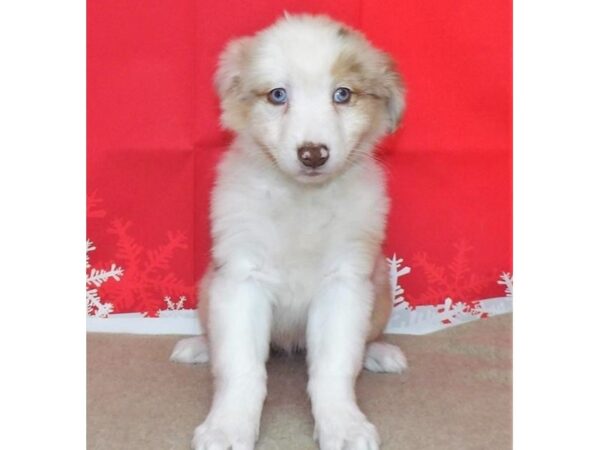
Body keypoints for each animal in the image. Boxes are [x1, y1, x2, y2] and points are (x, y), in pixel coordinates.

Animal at [171, 14, 410, 450]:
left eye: (342, 94)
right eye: (278, 95)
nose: (313, 154)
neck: (302, 200)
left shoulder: (345, 282)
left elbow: (334, 366)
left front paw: (344, 426)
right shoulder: (241, 277)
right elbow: (240, 368)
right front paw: (227, 427)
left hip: (381, 285)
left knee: (364, 340)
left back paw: (378, 353)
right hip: (207, 288)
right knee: (217, 340)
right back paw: (199, 347)